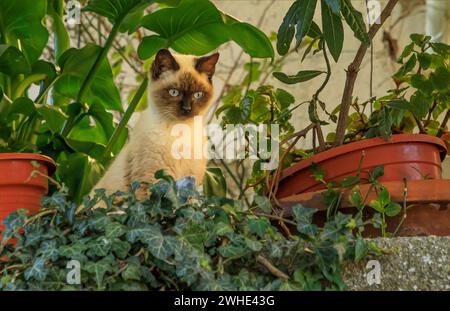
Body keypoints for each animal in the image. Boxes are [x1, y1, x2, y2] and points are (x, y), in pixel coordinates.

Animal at [94, 49, 221, 200]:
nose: (187, 109)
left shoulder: (190, 185)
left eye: (198, 95)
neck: (180, 131)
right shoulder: (152, 182)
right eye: (174, 92)